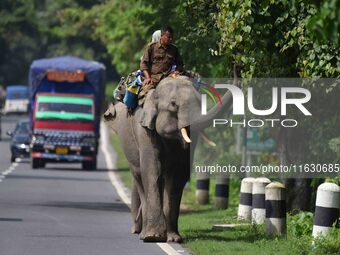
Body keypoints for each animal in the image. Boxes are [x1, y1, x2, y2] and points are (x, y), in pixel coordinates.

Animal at [102, 76, 232, 243]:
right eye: (173, 105)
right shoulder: (143, 130)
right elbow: (152, 169)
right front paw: (153, 236)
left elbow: (179, 175)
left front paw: (174, 239)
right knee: (139, 176)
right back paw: (143, 233)